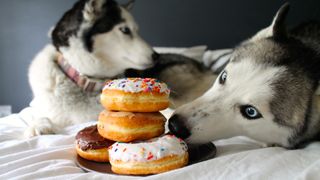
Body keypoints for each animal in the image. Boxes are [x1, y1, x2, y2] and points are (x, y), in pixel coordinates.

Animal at [26, 0, 158, 136]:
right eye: (125, 30)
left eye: (137, 31)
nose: (156, 56)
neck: (86, 81)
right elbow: (37, 115)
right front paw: (38, 125)